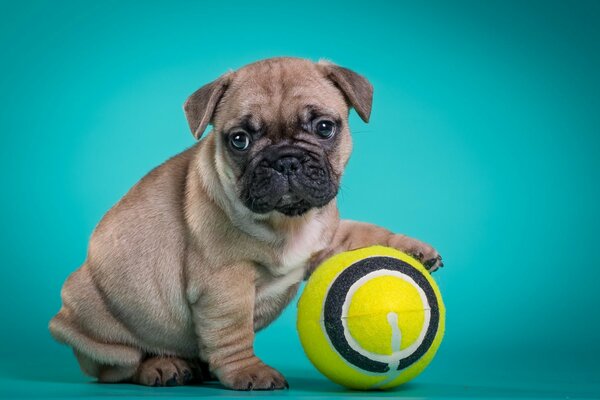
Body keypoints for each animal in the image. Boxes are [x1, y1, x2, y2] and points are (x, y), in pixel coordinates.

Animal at [49, 57, 442, 390]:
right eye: (240, 139)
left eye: (324, 128)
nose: (286, 160)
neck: (288, 222)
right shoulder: (225, 283)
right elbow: (233, 331)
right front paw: (248, 371)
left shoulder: (328, 237)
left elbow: (365, 232)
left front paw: (412, 249)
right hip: (96, 323)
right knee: (119, 367)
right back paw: (162, 366)